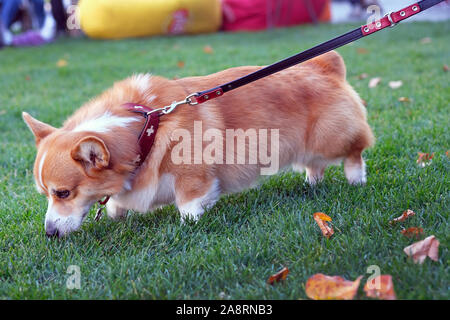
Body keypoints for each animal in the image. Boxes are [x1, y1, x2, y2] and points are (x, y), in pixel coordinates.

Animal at [22, 51, 372, 236]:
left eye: (63, 193)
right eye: (46, 194)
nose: (50, 234)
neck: (144, 130)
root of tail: (324, 65)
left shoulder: (193, 177)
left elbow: (189, 204)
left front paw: (187, 225)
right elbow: (117, 202)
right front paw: (116, 213)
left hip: (331, 137)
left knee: (354, 152)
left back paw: (356, 180)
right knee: (315, 166)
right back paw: (311, 184)